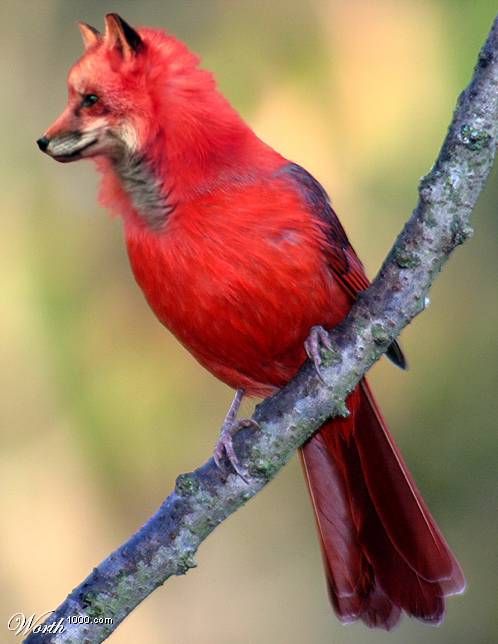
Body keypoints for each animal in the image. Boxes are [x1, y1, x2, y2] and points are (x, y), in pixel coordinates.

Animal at [37, 13, 465, 630]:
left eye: (90, 99)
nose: (44, 141)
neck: (188, 195)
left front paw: (315, 340)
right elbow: (237, 393)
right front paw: (224, 438)